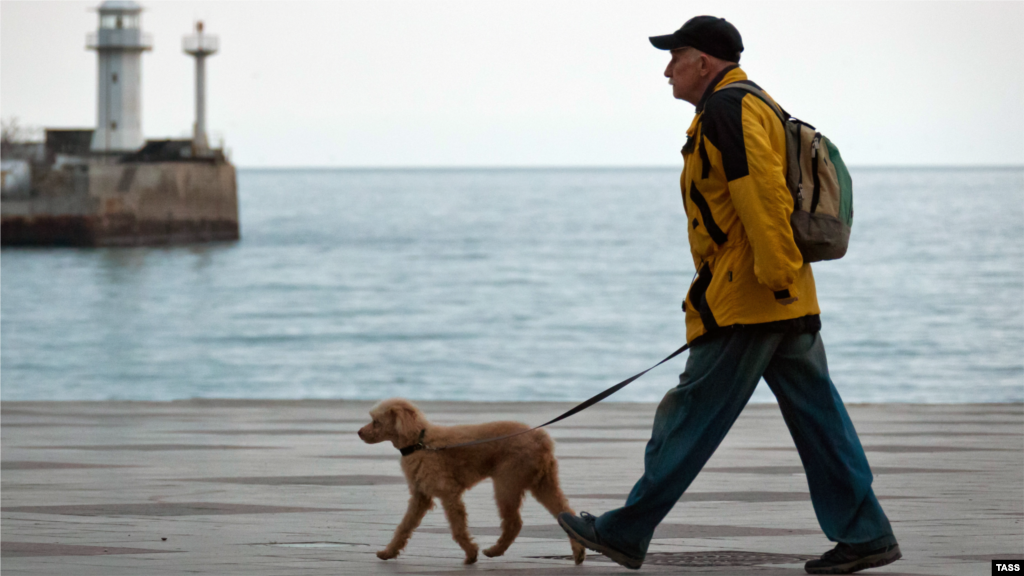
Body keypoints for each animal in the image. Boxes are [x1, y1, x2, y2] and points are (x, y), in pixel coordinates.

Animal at [358, 397, 585, 561]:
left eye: (376, 422)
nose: (359, 432)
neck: (419, 443)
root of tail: (542, 440)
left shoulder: (449, 495)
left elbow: (458, 528)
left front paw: (470, 554)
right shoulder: (420, 497)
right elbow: (404, 526)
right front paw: (389, 552)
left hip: (508, 482)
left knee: (514, 523)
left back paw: (494, 550)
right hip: (543, 482)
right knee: (565, 512)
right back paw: (578, 552)